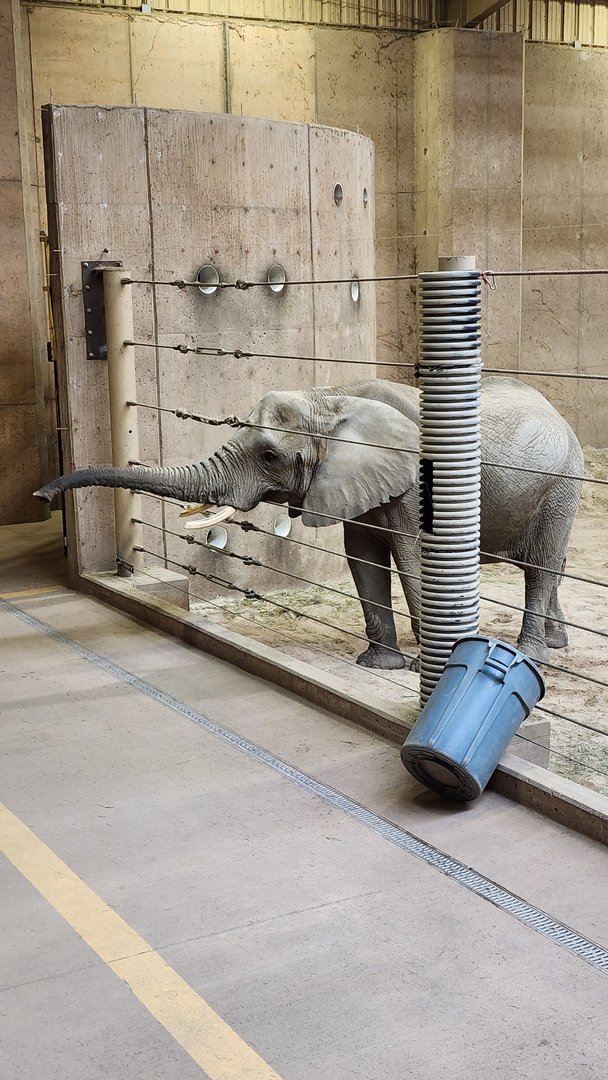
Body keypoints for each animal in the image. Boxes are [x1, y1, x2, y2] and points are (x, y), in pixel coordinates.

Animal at [35, 376, 583, 666]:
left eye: (269, 456)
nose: (41, 495)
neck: (331, 396)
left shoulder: (415, 484)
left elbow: (410, 557)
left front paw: (422, 663)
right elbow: (362, 560)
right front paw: (378, 666)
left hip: (563, 483)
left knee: (541, 566)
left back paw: (533, 655)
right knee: (547, 566)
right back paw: (556, 643)